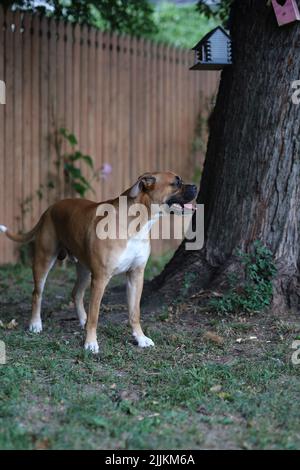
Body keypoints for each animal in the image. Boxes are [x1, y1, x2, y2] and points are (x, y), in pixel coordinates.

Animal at [0, 173, 197, 352]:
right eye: (176, 183)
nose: (195, 186)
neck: (136, 223)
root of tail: (49, 209)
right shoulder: (101, 278)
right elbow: (95, 314)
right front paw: (90, 343)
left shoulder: (136, 275)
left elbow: (135, 313)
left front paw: (140, 338)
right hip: (44, 260)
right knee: (37, 293)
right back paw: (35, 324)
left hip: (85, 270)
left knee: (76, 293)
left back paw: (82, 319)